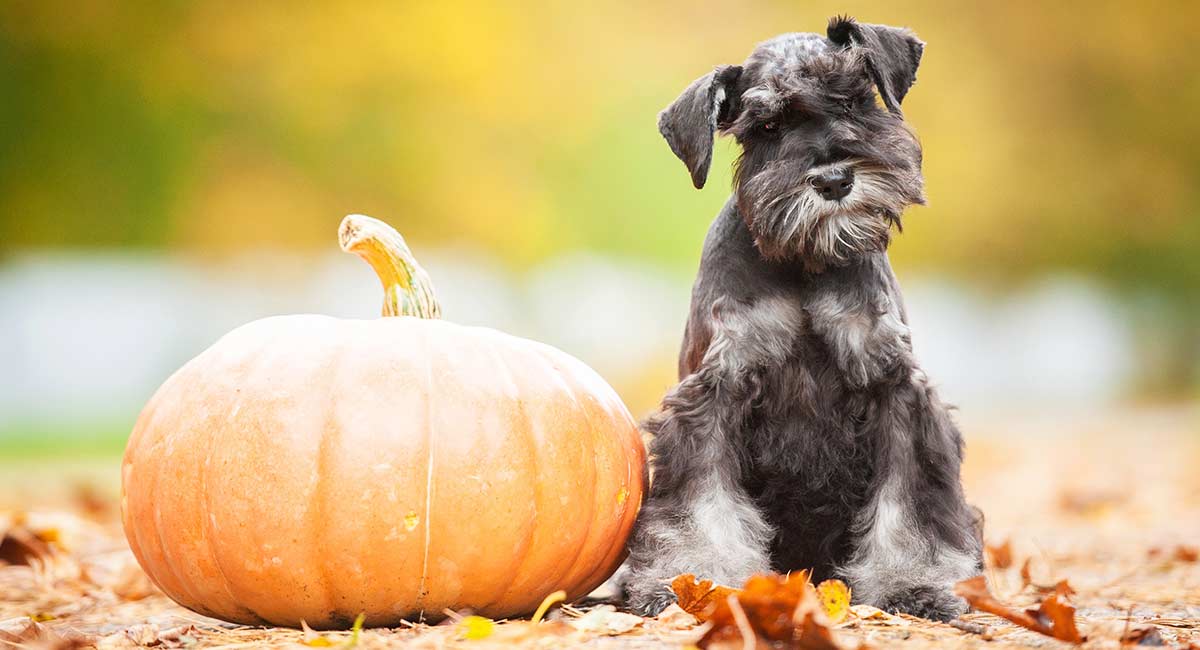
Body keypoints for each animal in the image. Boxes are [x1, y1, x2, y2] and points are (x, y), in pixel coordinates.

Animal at [619, 17, 984, 623]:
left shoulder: (896, 390)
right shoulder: (714, 393)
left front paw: (913, 585)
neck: (803, 262)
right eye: (766, 125)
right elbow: (701, 501)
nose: (833, 179)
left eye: (854, 99)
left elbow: (908, 505)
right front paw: (691, 581)